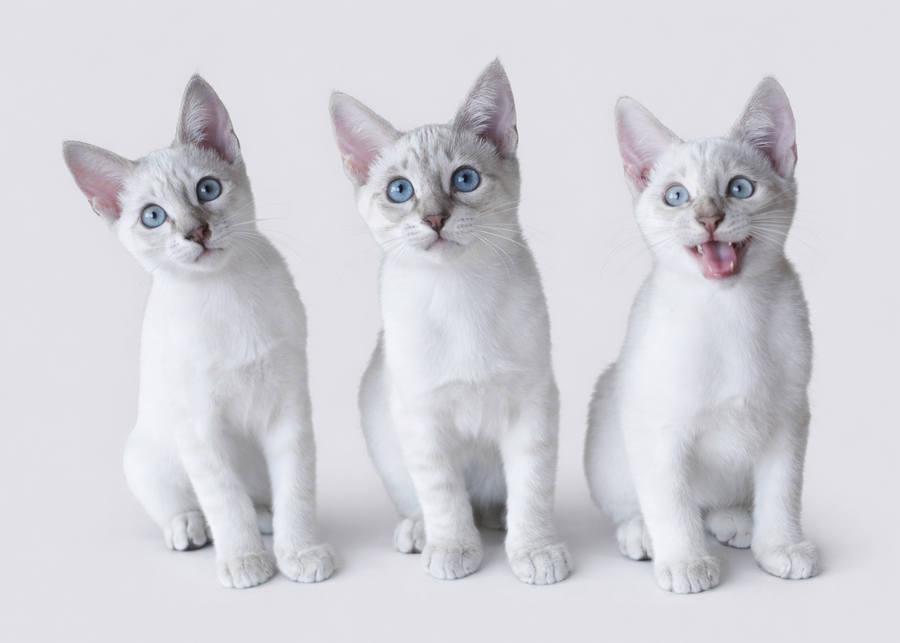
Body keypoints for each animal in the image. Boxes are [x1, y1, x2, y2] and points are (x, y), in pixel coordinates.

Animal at [63, 75, 335, 589]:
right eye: (153, 216)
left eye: (207, 190)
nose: (197, 232)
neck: (224, 291)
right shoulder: (200, 426)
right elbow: (223, 500)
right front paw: (244, 562)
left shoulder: (290, 408)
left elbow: (297, 490)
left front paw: (301, 552)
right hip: (146, 454)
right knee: (187, 505)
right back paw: (190, 528)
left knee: (260, 499)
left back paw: (266, 518)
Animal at [329, 61, 572, 584]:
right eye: (400, 190)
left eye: (464, 179)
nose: (435, 218)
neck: (459, 292)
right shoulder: (421, 417)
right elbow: (442, 494)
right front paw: (453, 548)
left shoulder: (533, 405)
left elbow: (532, 489)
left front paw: (536, 551)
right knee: (433, 500)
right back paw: (421, 533)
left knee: (497, 503)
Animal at [584, 78, 820, 593]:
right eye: (676, 196)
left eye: (739, 188)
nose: (709, 218)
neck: (730, 311)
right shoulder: (658, 426)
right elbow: (670, 502)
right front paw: (685, 562)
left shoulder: (789, 418)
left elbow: (782, 493)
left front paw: (781, 548)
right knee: (645, 503)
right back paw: (642, 534)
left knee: (713, 505)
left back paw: (734, 520)